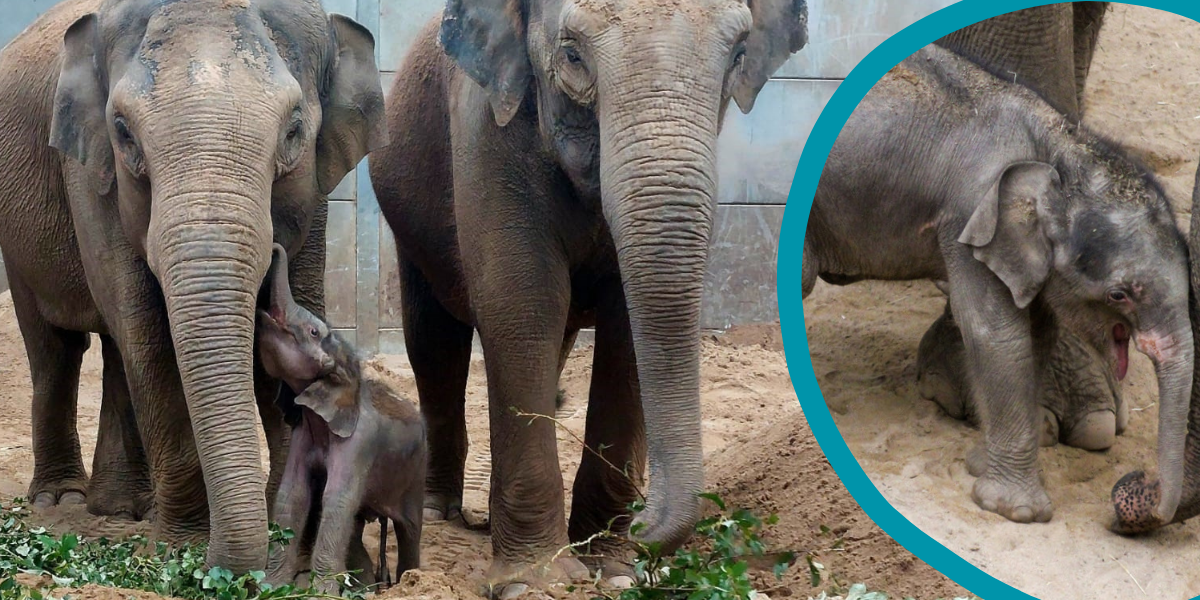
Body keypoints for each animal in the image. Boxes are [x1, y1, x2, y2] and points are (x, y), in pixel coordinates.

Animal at [0, 0, 387, 571]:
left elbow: (296, 308)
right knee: (58, 348)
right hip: (17, 234)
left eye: (294, 131)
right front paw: (182, 548)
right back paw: (63, 500)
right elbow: (147, 334)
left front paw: (289, 542)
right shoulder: (90, 177)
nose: (220, 563)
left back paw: (123, 509)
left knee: (114, 352)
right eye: (123, 131)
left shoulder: (315, 190)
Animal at [368, 0, 808, 594]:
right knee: (434, 343)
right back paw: (441, 511)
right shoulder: (486, 129)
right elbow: (523, 300)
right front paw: (535, 583)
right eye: (573, 55)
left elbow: (625, 325)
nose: (646, 524)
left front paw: (613, 569)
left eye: (739, 53)